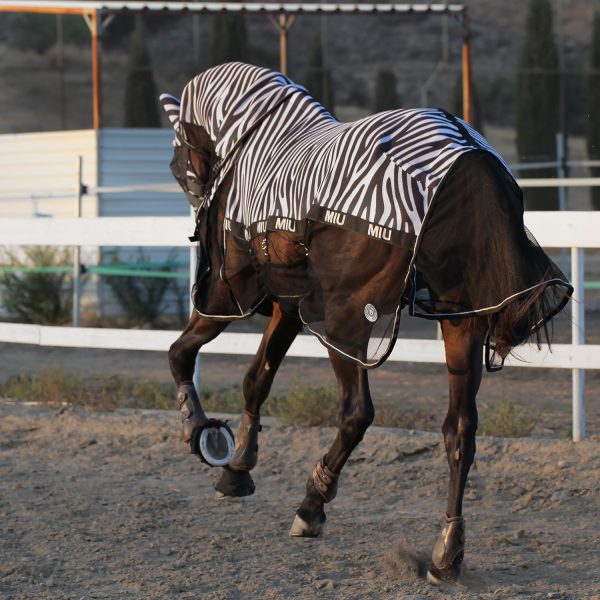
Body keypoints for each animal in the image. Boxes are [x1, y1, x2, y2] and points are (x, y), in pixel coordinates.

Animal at [159, 62, 572, 580]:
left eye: (178, 147)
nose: (191, 191)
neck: (257, 142)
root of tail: (468, 155)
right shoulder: (289, 304)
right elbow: (257, 380)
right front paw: (237, 468)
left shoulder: (233, 294)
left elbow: (181, 353)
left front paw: (201, 432)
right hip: (459, 321)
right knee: (460, 428)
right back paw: (446, 551)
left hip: (344, 318)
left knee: (357, 412)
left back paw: (312, 506)